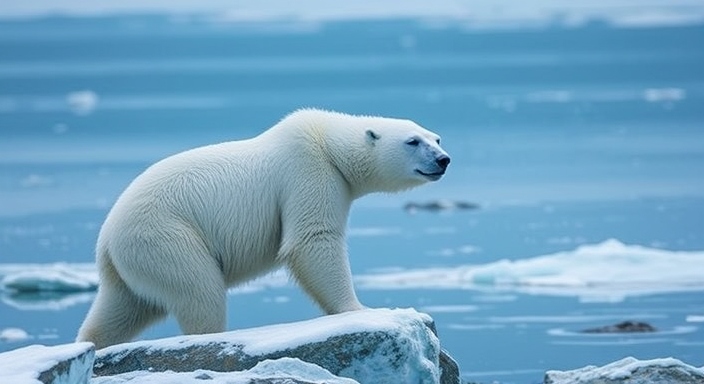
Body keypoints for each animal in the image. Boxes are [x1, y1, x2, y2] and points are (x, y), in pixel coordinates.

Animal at [75, 107, 452, 348]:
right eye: (412, 141)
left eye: (436, 138)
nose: (443, 159)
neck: (328, 142)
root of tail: (106, 239)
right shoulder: (307, 170)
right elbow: (312, 240)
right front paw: (360, 310)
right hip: (166, 235)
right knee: (200, 290)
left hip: (131, 263)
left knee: (121, 308)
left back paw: (92, 343)